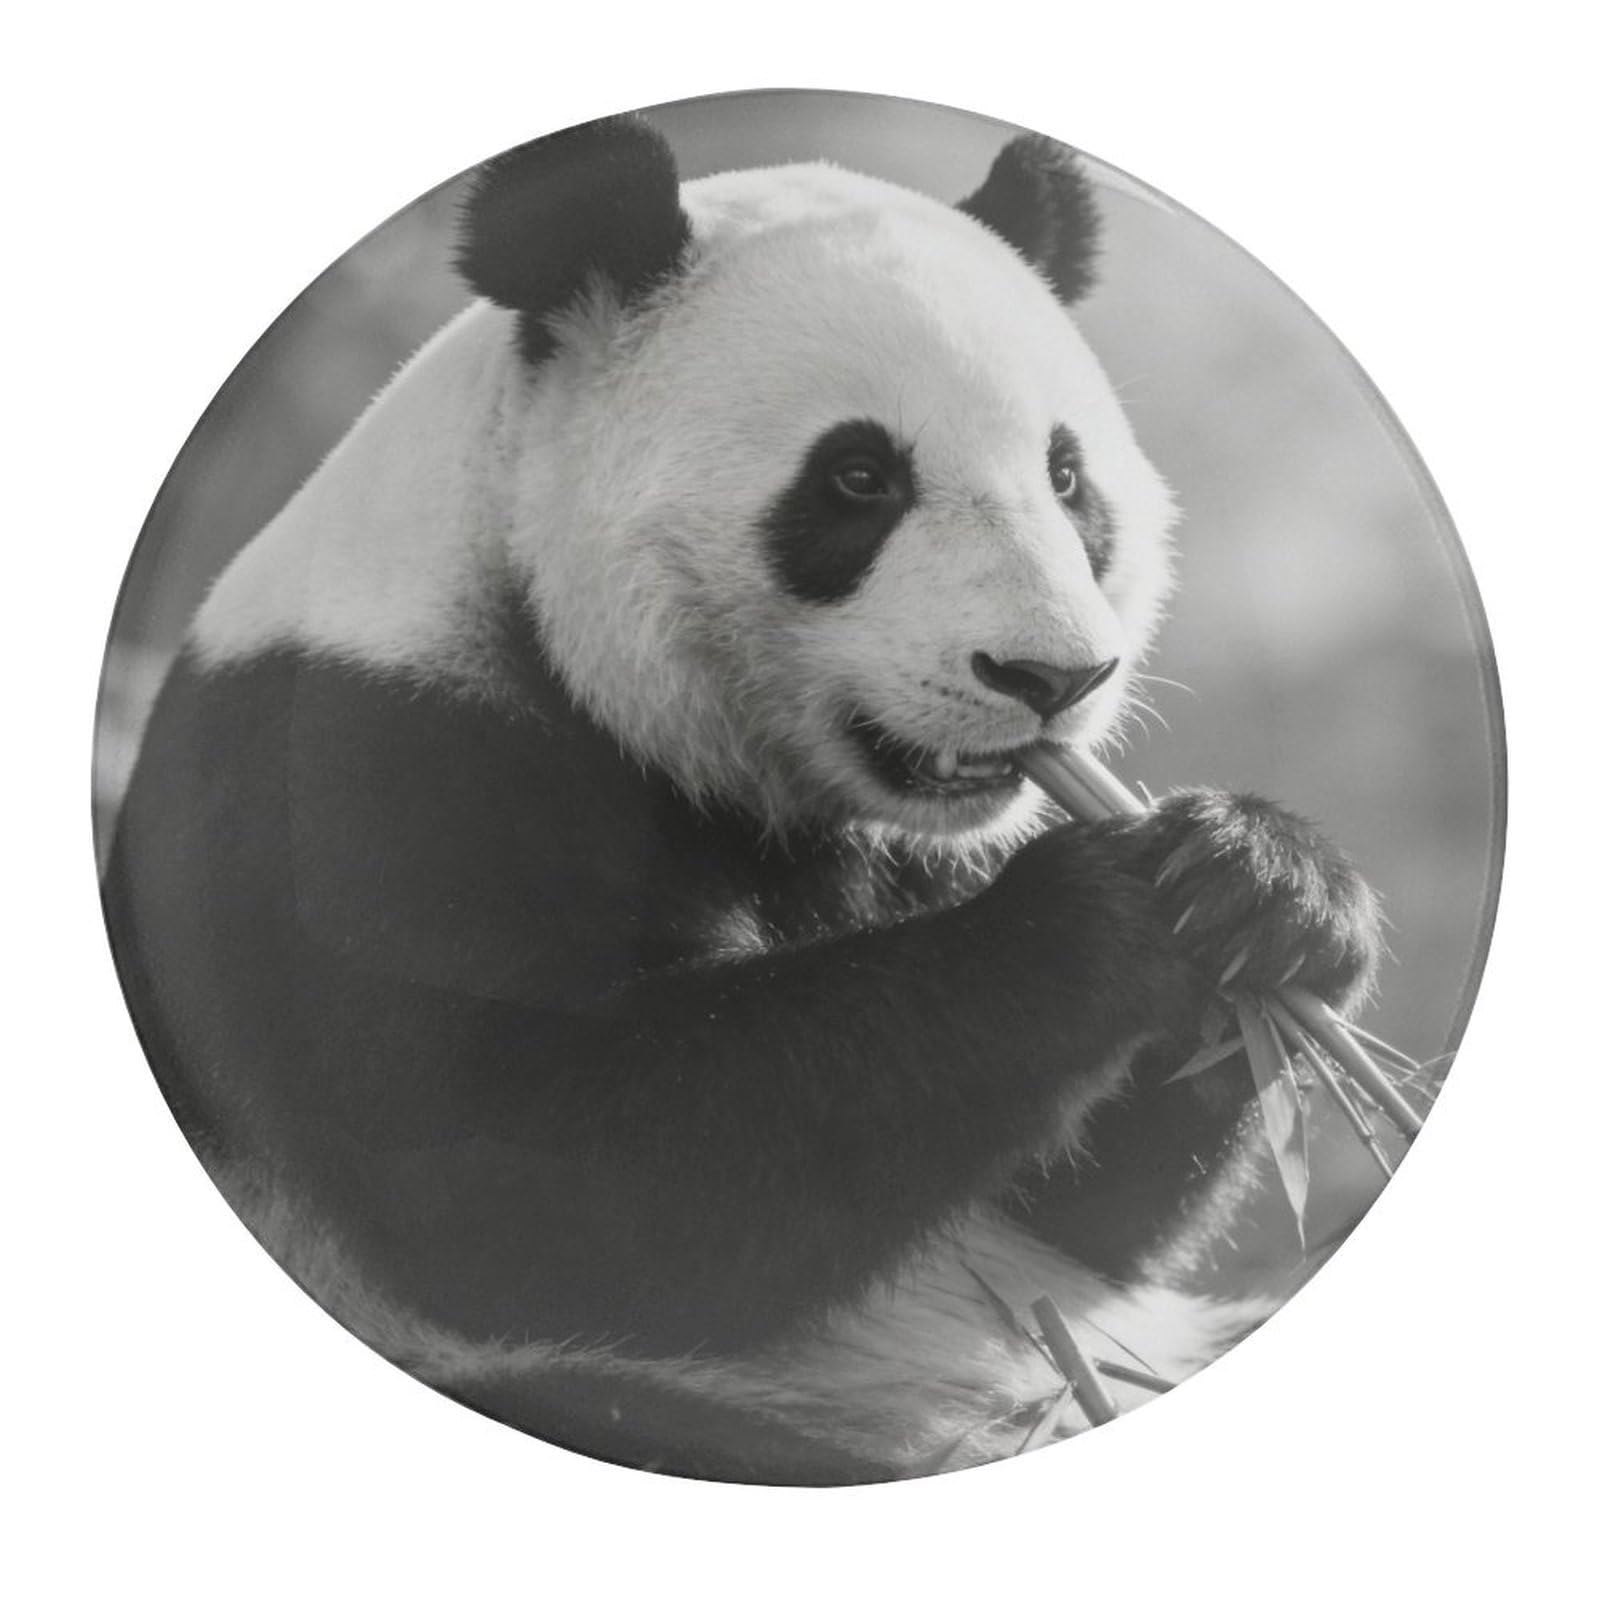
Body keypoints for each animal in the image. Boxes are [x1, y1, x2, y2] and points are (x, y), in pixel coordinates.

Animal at [103, 114, 1381, 1484]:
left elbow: (1081, 1223)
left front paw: (1258, 885)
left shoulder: (912, 852)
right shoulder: (353, 771)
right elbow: (528, 1184)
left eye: (1066, 476)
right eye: (858, 477)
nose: (1050, 679)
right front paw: (1095, 918)